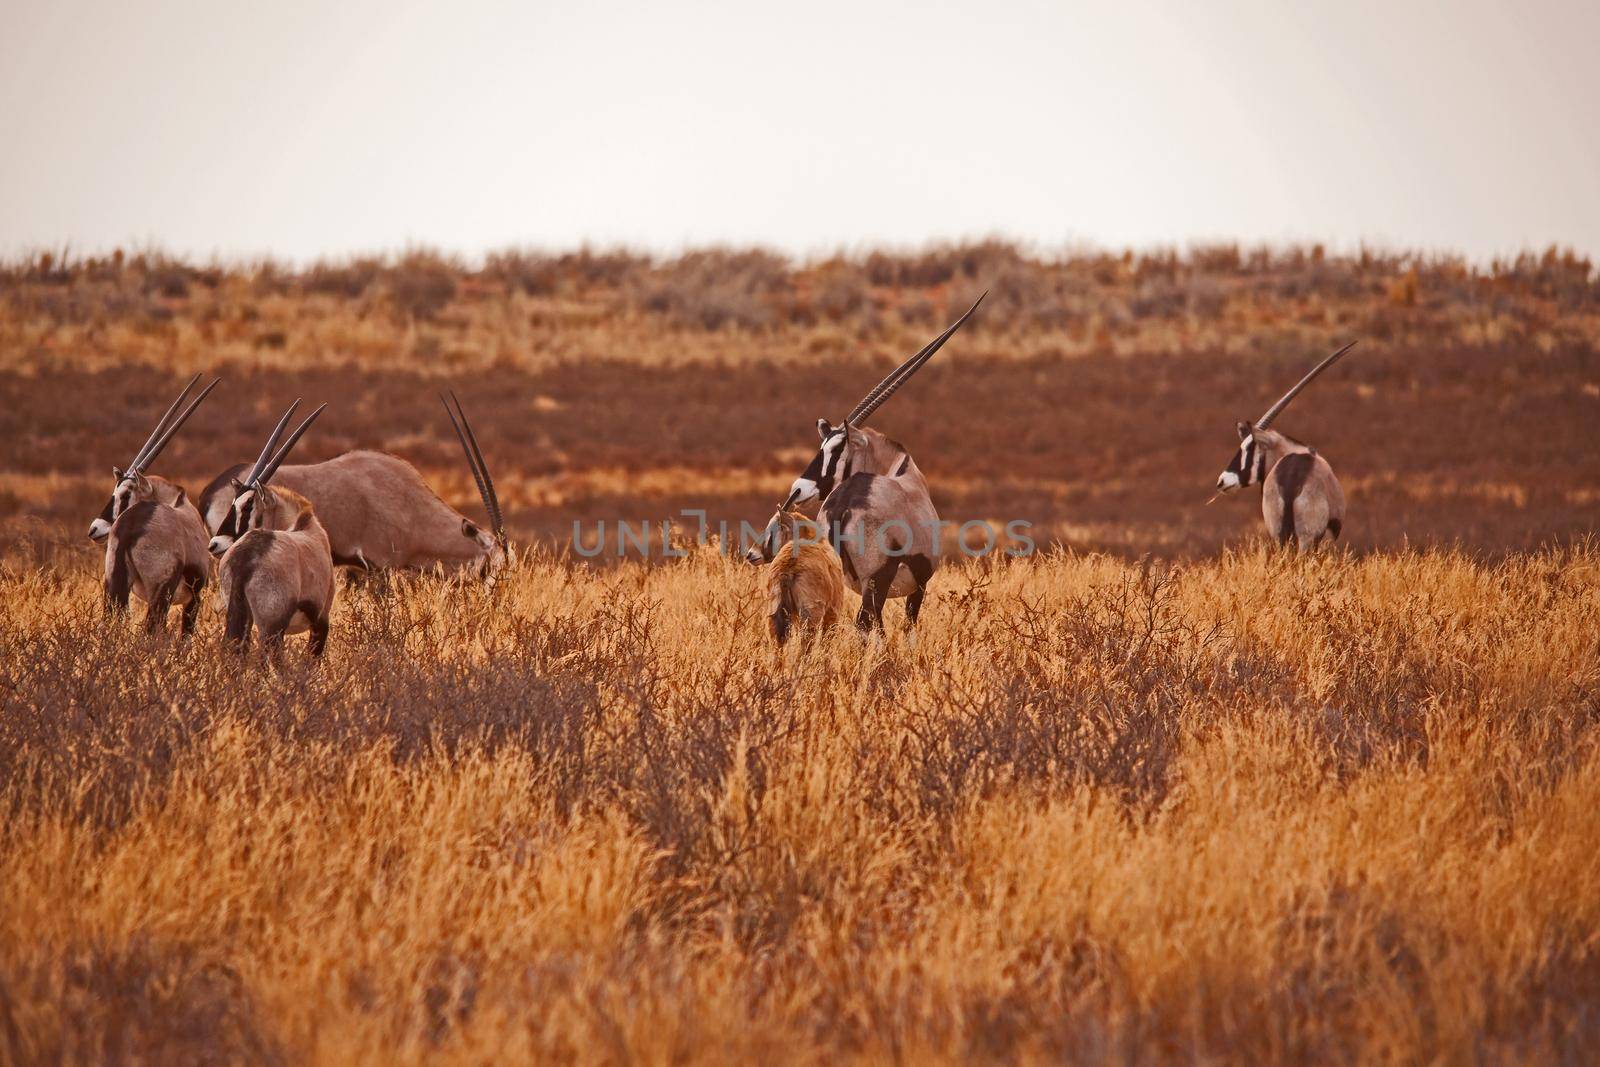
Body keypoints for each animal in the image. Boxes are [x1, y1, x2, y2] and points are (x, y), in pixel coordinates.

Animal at [217, 399, 336, 652]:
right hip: (271, 628)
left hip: (243, 619)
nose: (215, 543)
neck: (303, 523)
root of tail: (246, 557)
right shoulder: (321, 621)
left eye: (248, 504)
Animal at [777, 289, 979, 633]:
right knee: (864, 622)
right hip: (878, 580)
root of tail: (845, 504)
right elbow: (909, 625)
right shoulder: (919, 584)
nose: (798, 490)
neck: (900, 466)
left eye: (836, 448)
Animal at [1216, 340, 1356, 547]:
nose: (1222, 481)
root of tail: (1291, 480)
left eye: (1249, 448)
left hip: (1279, 535)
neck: (1292, 451)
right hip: (1307, 538)